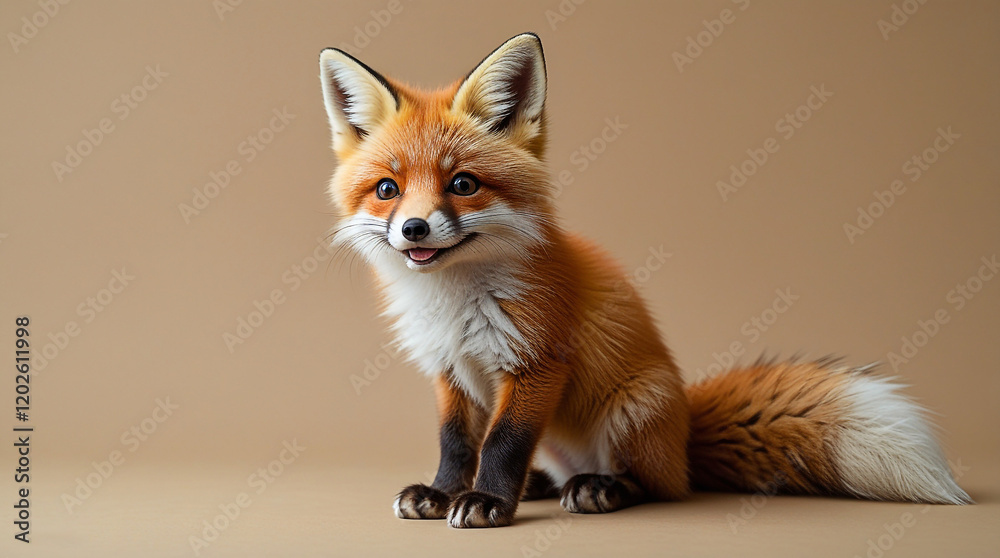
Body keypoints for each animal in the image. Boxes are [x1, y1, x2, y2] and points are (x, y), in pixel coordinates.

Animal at [317, 33, 970, 528]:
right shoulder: (451, 371)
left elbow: (502, 442)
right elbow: (457, 444)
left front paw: (487, 501)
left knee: (656, 485)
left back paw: (600, 488)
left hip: (632, 409)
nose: (415, 229)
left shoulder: (536, 362)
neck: (453, 302)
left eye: (463, 184)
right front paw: (445, 492)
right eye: (387, 190)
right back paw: (542, 484)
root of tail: (683, 435)